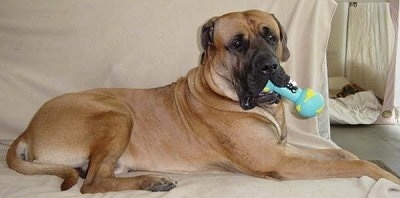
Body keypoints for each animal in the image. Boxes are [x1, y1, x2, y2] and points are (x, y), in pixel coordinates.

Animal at [6, 9, 400, 193]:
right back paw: (151, 182)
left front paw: (381, 164)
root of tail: (27, 129)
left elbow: (344, 155)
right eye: (237, 44)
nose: (271, 66)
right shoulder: (279, 160)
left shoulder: (286, 149)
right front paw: (384, 175)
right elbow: (354, 164)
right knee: (91, 184)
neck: (223, 93)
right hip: (116, 113)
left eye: (271, 36)